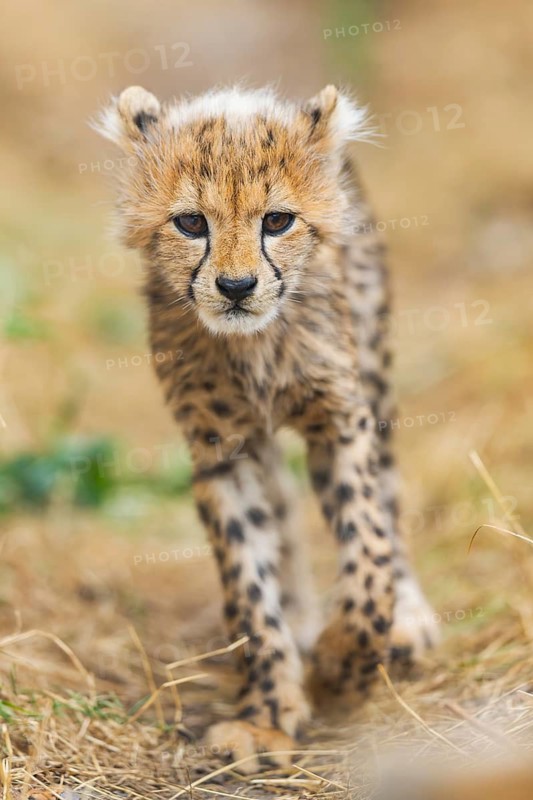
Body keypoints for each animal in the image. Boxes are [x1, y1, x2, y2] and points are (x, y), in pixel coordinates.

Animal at [95, 84, 438, 772]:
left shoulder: (340, 423)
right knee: (282, 507)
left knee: (389, 498)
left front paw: (344, 664)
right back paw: (303, 618)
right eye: (191, 223)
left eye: (277, 221)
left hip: (376, 378)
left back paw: (406, 619)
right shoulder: (222, 452)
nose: (235, 286)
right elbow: (248, 585)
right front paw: (268, 717)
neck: (255, 346)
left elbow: (368, 554)